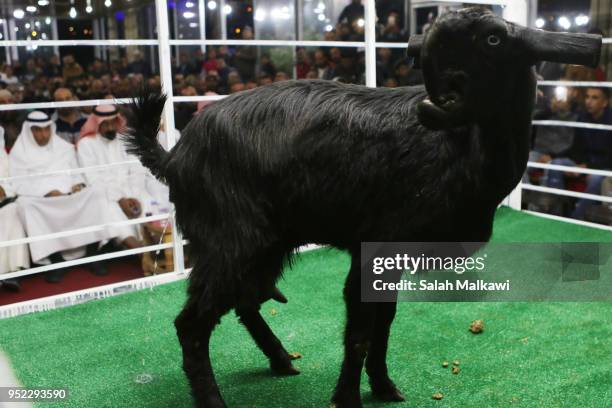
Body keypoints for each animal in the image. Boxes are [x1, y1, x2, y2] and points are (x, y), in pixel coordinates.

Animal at [123, 7, 596, 406]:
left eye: (495, 40)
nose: (436, 100)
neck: (463, 149)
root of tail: (174, 155)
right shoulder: (375, 247)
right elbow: (360, 333)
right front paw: (346, 398)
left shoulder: (394, 257)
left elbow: (383, 328)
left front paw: (385, 388)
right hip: (231, 241)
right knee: (193, 325)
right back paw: (215, 399)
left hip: (265, 243)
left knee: (244, 302)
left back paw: (281, 360)